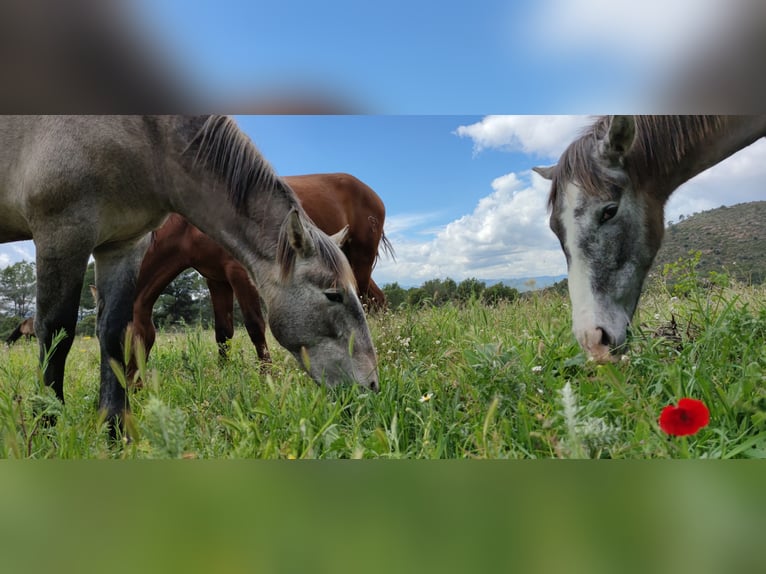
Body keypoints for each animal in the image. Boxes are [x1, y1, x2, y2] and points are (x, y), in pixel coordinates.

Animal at [131, 173, 392, 370]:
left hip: (360, 260)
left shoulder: (240, 274)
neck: (189, 228)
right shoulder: (215, 279)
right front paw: (223, 373)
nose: (134, 388)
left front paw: (267, 374)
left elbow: (255, 326)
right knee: (377, 301)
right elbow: (223, 331)